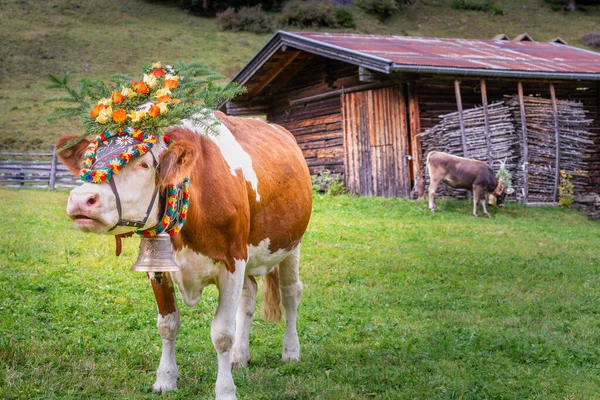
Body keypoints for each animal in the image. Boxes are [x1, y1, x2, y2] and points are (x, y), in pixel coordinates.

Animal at [51, 61, 312, 398]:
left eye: (145, 164)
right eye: (89, 158)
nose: (82, 199)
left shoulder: (233, 260)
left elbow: (222, 333)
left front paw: (225, 389)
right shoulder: (158, 265)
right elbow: (168, 324)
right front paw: (165, 378)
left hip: (291, 243)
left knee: (292, 292)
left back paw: (290, 352)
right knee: (249, 296)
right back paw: (240, 357)